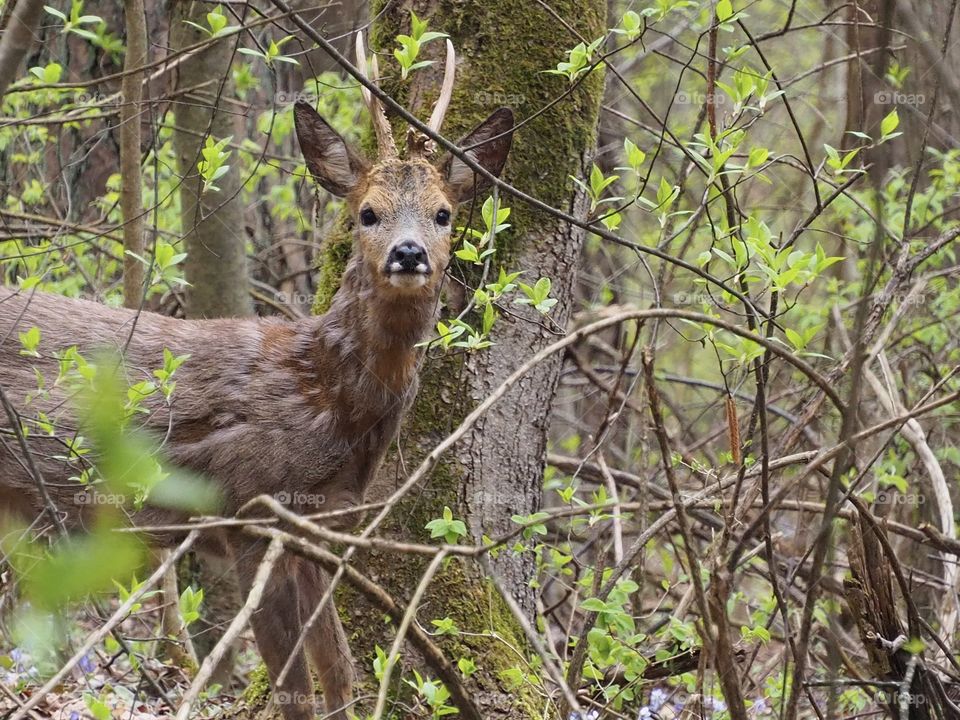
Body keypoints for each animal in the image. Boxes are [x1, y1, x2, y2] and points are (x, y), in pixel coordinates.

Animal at [0, 33, 513, 720]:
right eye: (367, 213)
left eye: (444, 213)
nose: (408, 254)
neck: (326, 395)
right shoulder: (247, 507)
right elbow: (294, 688)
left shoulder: (314, 530)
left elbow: (340, 672)